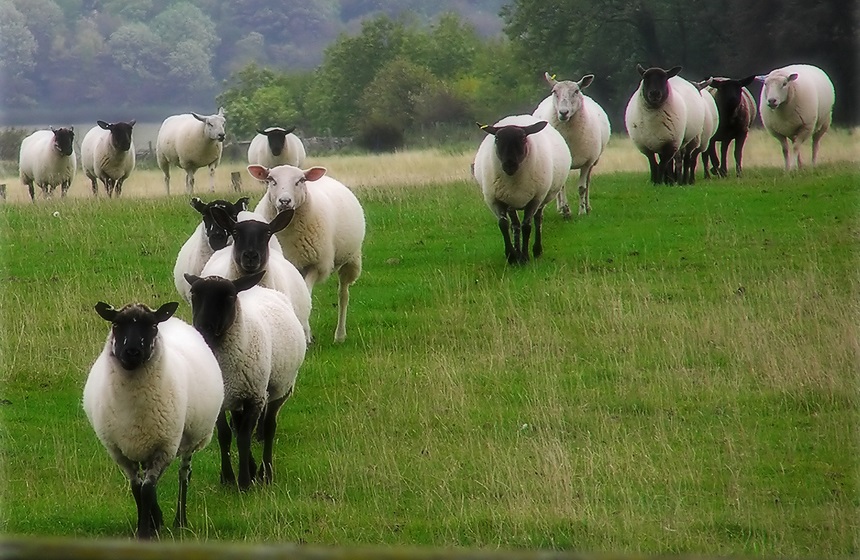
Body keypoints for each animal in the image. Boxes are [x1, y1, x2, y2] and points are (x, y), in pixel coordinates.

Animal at [83, 301, 223, 539]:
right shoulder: (119, 451)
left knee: (184, 475)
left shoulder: (164, 448)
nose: (132, 351)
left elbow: (148, 490)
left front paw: (145, 533)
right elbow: (137, 489)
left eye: (153, 326)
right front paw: (148, 524)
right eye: (116, 325)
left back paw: (180, 520)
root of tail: (174, 320)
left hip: (189, 439)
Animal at [184, 271, 306, 490]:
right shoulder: (223, 400)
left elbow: (243, 438)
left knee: (269, 427)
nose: (203, 328)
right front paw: (227, 477)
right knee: (240, 425)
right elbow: (226, 435)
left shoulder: (255, 397)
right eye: (194, 294)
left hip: (278, 388)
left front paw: (244, 482)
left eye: (230, 296)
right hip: (237, 394)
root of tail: (262, 288)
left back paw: (265, 472)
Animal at [250, 164, 365, 343]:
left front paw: (306, 334)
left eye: (300, 180)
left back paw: (339, 335)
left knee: (343, 295)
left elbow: (306, 294)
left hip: (351, 260)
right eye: (271, 179)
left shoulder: (316, 265)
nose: (285, 201)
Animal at [472, 114, 571, 265]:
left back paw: (536, 250)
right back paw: (517, 252)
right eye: (497, 139)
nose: (509, 165)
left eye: (524, 138)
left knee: (537, 219)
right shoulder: (495, 200)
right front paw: (512, 256)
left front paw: (524, 257)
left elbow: (527, 226)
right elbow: (504, 224)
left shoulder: (534, 200)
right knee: (515, 225)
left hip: (542, 197)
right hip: (511, 200)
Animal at [533, 72, 611, 217]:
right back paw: (559, 208)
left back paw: (588, 207)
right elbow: (561, 188)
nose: (563, 112)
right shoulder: (563, 161)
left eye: (576, 91)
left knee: (588, 183)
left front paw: (582, 211)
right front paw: (566, 210)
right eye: (554, 92)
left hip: (593, 161)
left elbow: (582, 188)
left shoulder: (587, 162)